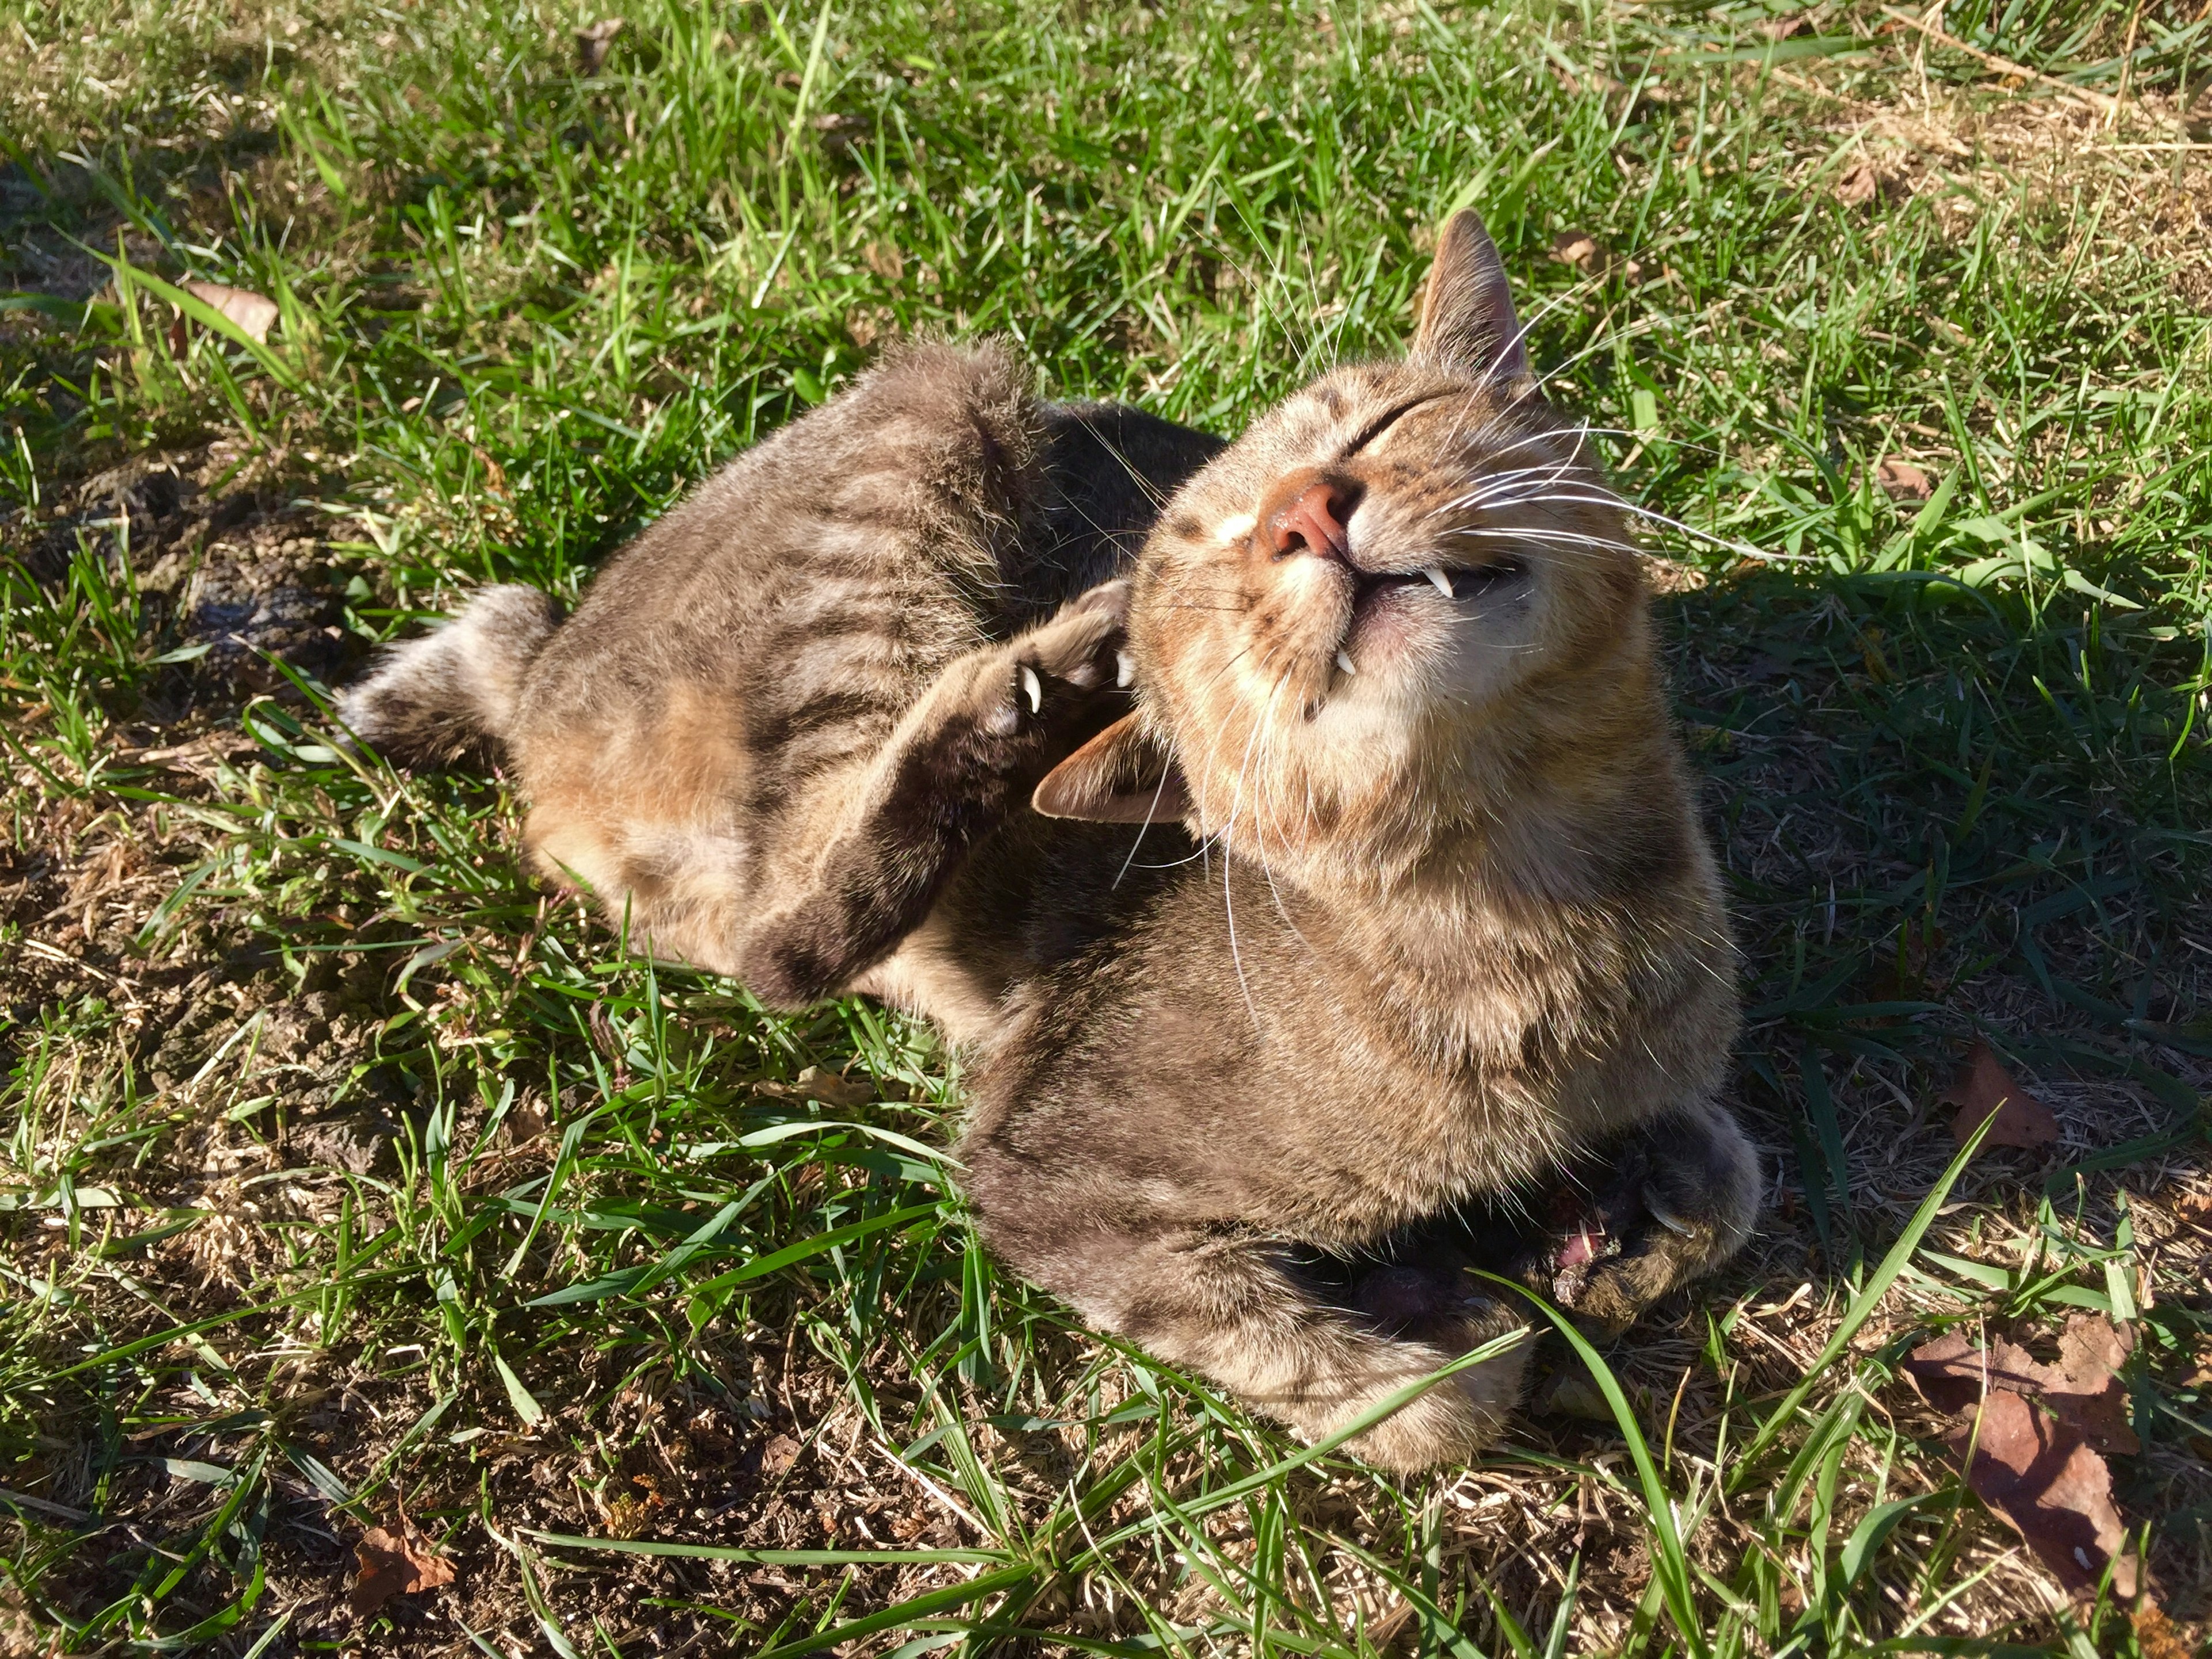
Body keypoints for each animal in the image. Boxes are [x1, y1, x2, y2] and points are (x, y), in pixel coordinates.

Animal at [349, 211, 1760, 1478]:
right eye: (1199, 572)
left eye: (1382, 427)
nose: (1306, 511)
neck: (1541, 892)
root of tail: (546, 662)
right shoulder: (1045, 1168)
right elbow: (1417, 1404)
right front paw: (1455, 1314)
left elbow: (1731, 1175)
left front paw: (1598, 1238)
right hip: (943, 407)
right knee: (789, 932)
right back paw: (1040, 686)